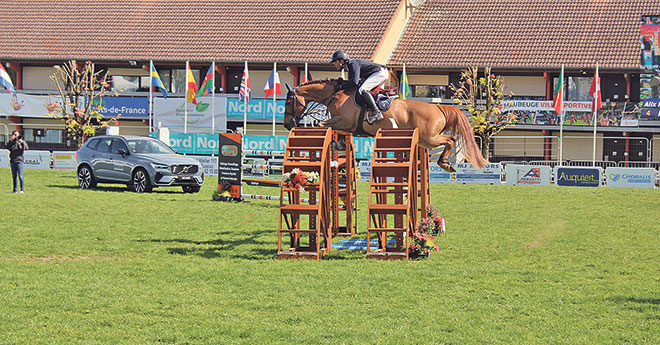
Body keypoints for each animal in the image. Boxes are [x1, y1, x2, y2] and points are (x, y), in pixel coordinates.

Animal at [282, 80, 488, 172]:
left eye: (288, 102)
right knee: (449, 141)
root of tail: (437, 106)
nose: (287, 124)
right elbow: (334, 130)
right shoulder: (346, 126)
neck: (334, 96)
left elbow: (323, 124)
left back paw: (444, 163)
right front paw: (338, 143)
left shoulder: (343, 121)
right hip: (425, 140)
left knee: (450, 140)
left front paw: (334, 142)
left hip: (428, 138)